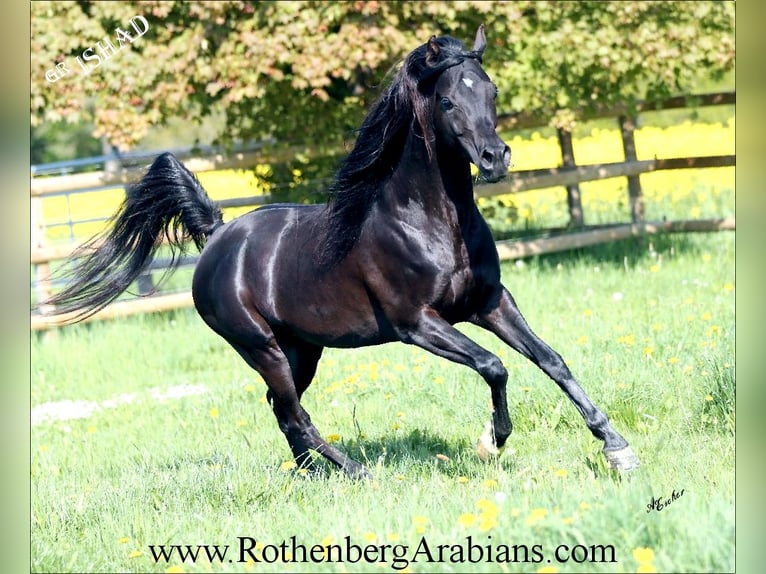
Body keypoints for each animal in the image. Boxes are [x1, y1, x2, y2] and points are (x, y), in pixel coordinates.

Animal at [43, 27, 640, 480]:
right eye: (449, 99)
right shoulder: (417, 324)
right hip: (261, 347)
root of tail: (217, 236)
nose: (495, 158)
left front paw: (616, 447)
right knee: (293, 412)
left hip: (302, 349)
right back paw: (355, 471)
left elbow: (550, 359)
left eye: (491, 93)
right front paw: (492, 441)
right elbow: (495, 366)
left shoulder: (490, 302)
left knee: (283, 411)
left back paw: (314, 474)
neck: (430, 223)